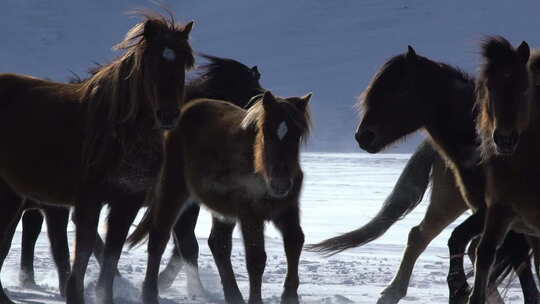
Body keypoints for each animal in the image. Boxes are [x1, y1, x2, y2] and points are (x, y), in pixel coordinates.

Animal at [0, 11, 194, 304]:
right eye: (151, 62)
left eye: (182, 61)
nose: (169, 115)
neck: (120, 134)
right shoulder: (88, 200)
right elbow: (84, 249)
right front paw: (75, 294)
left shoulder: (126, 203)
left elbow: (111, 254)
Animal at [127, 91, 312, 304]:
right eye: (267, 133)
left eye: (297, 135)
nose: (280, 183)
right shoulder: (250, 215)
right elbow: (256, 258)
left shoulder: (287, 210)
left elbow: (295, 242)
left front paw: (290, 296)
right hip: (173, 192)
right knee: (159, 238)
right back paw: (150, 293)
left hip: (222, 210)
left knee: (218, 245)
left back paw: (233, 296)